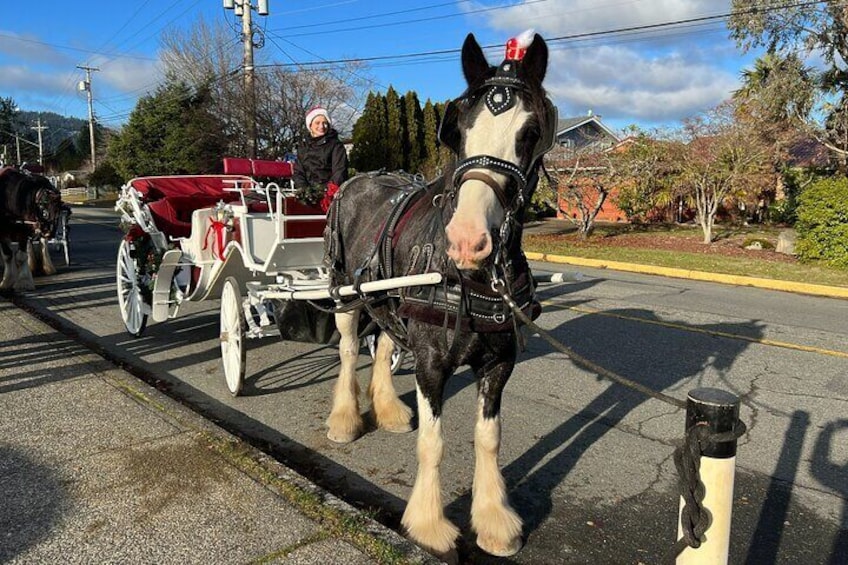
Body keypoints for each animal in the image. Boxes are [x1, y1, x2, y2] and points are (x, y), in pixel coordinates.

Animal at [322, 33, 556, 556]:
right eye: (458, 130)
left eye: (531, 131)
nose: (467, 240)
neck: (473, 280)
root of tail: (362, 177)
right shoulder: (431, 363)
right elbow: (434, 442)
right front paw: (429, 524)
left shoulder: (499, 361)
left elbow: (488, 438)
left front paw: (494, 520)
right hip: (346, 292)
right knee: (347, 351)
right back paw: (345, 419)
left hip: (387, 301)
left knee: (383, 343)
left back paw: (388, 410)